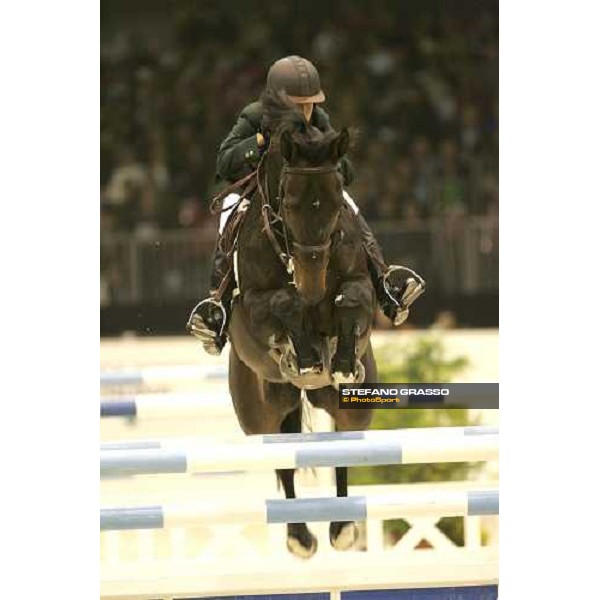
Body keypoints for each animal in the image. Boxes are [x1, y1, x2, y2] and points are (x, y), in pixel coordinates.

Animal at [225, 92, 376, 556]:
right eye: (289, 204)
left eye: (336, 201)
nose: (312, 285)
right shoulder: (253, 309)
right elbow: (281, 303)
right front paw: (305, 354)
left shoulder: (359, 284)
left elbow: (354, 298)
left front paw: (340, 360)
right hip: (260, 412)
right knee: (281, 457)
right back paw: (299, 536)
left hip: (351, 405)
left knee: (344, 445)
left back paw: (342, 528)